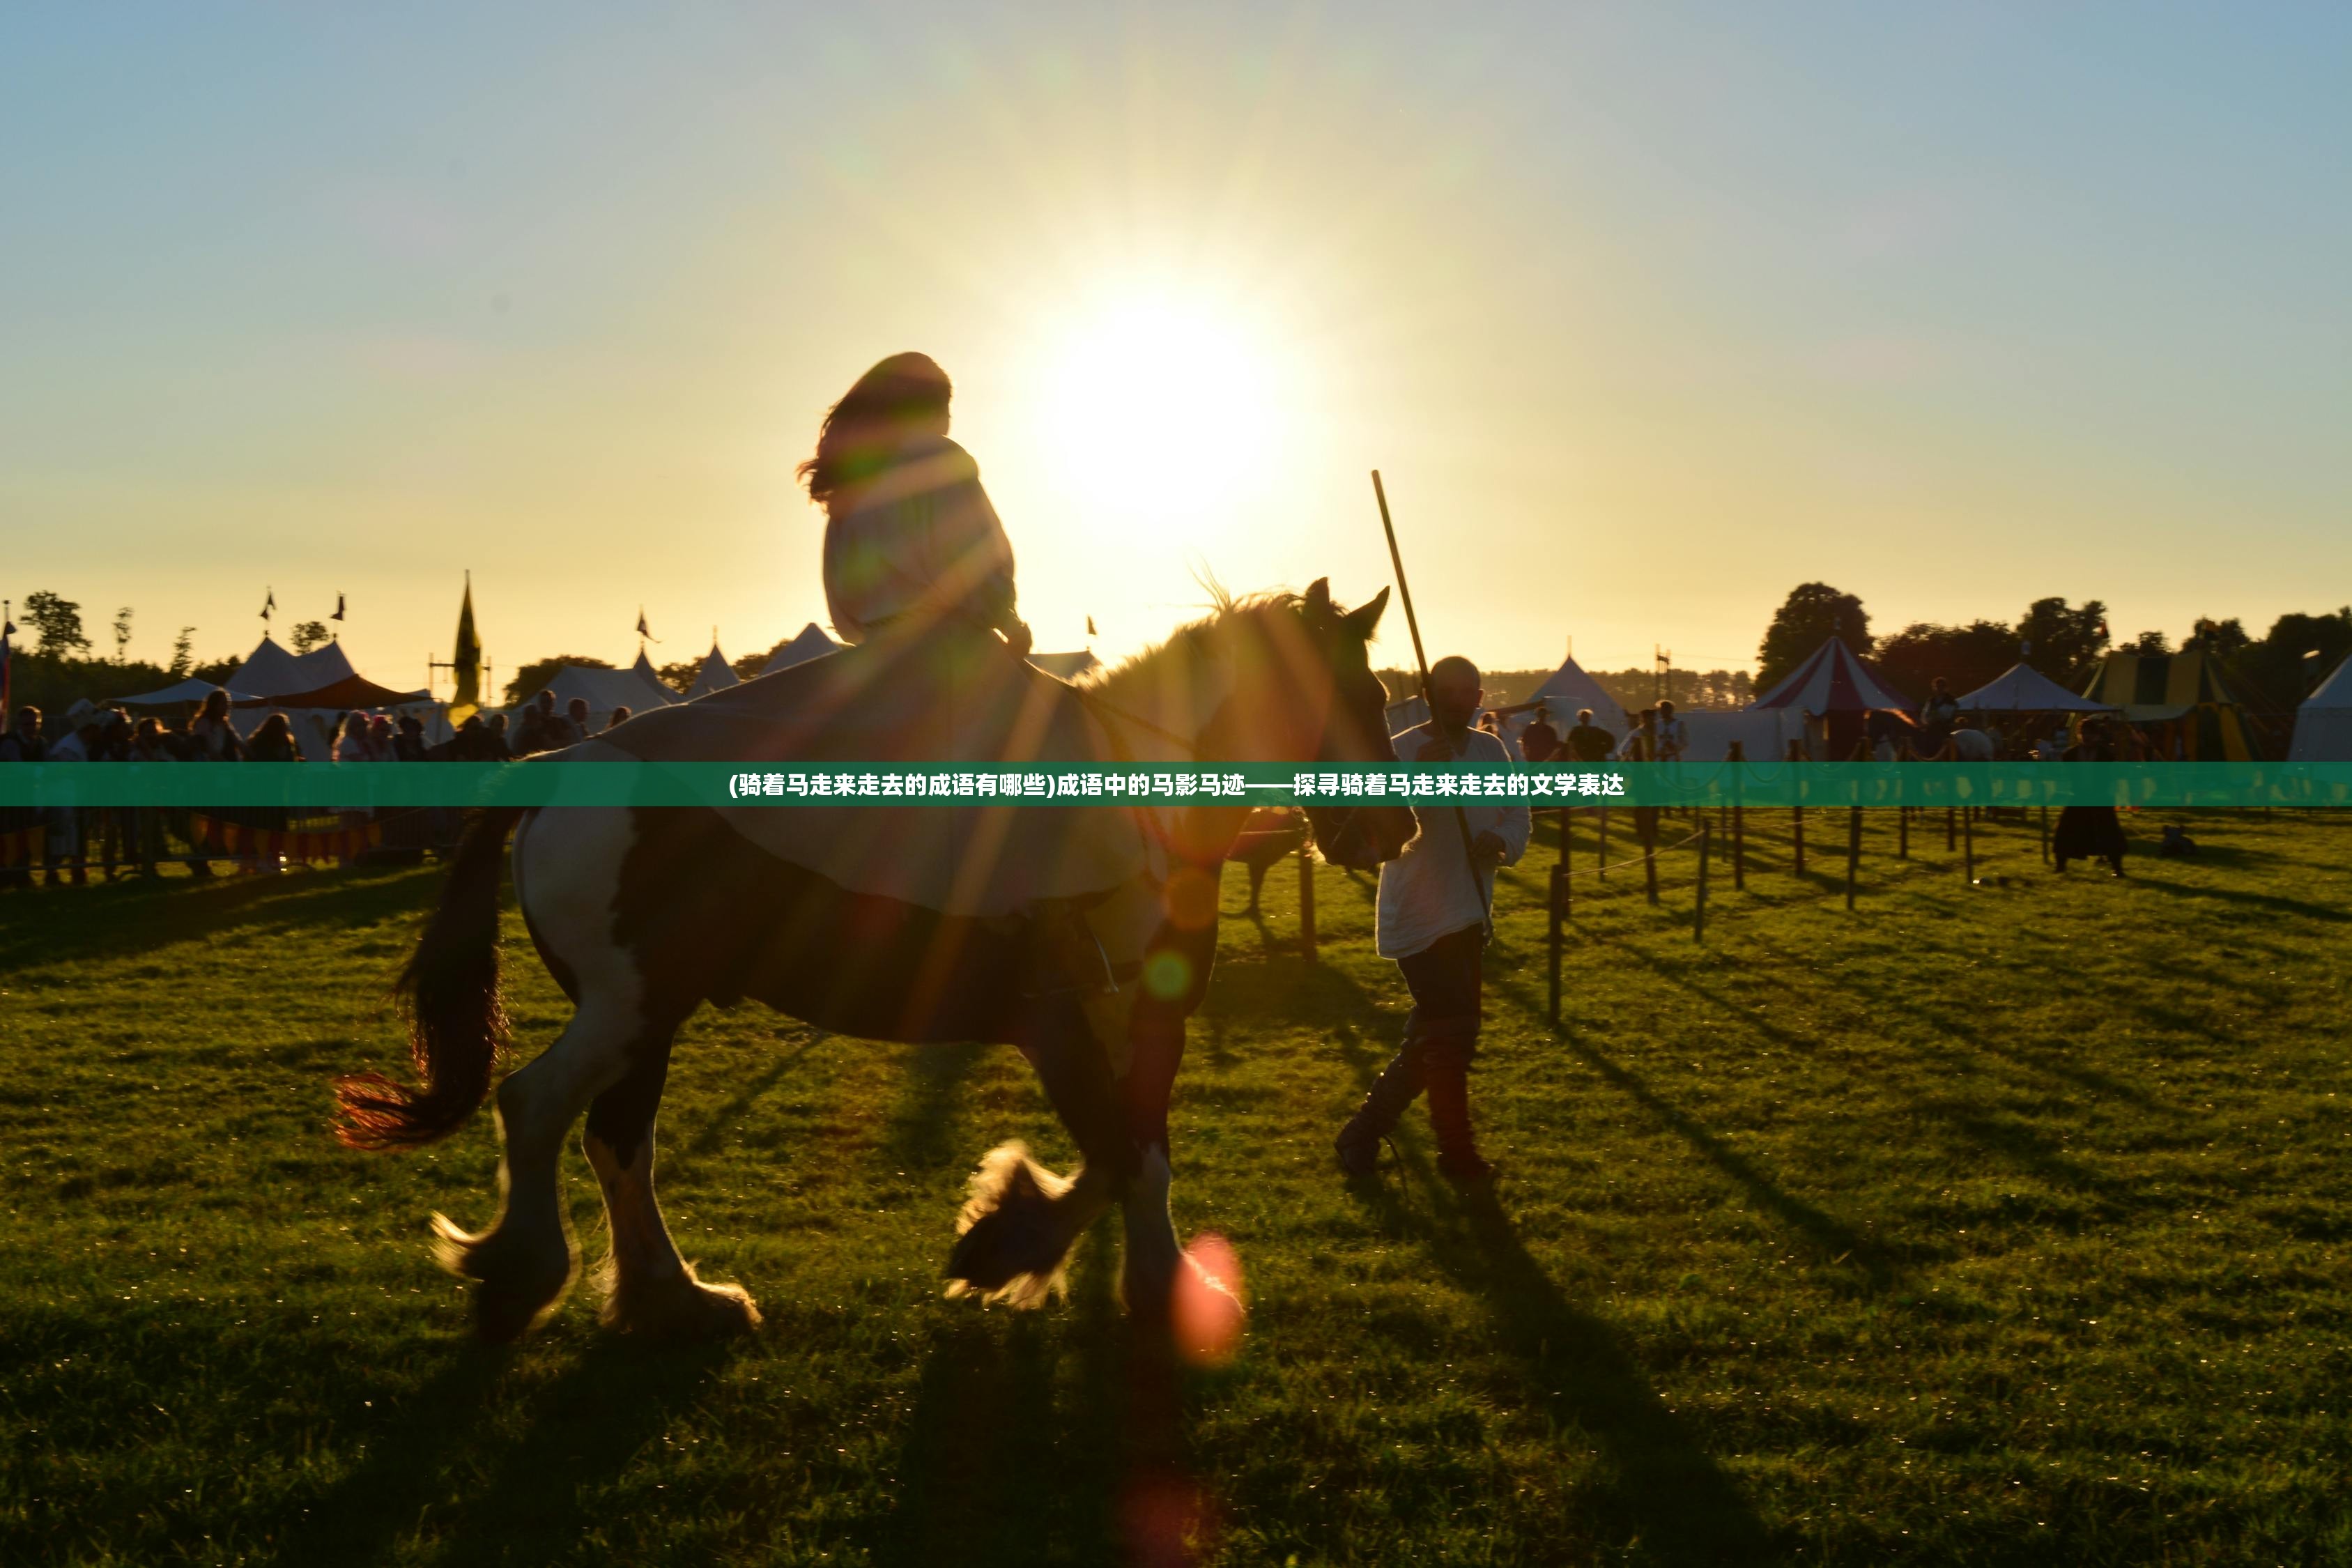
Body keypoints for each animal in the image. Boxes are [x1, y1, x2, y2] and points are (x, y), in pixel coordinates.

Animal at [331, 583, 1411, 1344]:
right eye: (1352, 694)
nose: (1392, 830)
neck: (1131, 804)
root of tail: (555, 768)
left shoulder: (1142, 1018)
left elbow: (1132, 1150)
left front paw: (1028, 1242)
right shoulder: (1057, 1019)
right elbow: (1124, 1155)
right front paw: (1053, 1256)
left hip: (648, 1016)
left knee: (616, 1141)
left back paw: (674, 1299)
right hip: (627, 1008)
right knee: (538, 1107)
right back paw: (523, 1270)